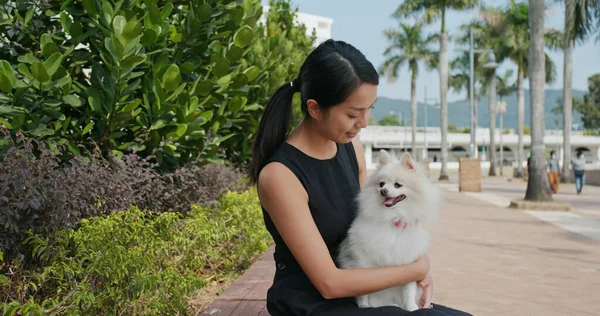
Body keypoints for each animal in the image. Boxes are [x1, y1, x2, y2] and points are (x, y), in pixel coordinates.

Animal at [340, 149, 442, 310]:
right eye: (381, 183)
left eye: (397, 185)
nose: (383, 191)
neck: (393, 219)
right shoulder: (363, 260)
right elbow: (364, 292)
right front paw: (364, 306)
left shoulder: (408, 263)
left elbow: (409, 290)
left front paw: (411, 308)